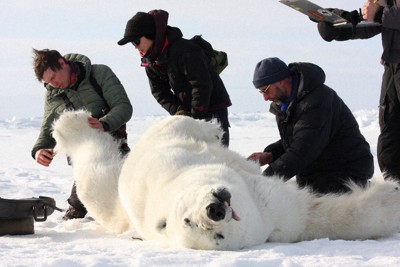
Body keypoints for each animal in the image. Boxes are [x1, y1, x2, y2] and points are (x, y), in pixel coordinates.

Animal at [51, 110, 400, 251]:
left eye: (186, 216)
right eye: (193, 224)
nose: (215, 209)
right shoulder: (269, 212)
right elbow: (316, 216)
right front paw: (391, 196)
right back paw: (72, 126)